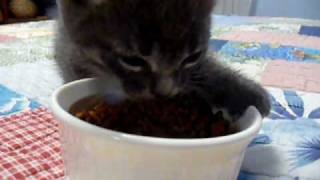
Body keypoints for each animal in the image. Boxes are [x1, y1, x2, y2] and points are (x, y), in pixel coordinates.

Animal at [55, 0, 270, 119]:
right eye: (132, 61)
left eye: (192, 57)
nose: (163, 93)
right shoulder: (71, 57)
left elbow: (205, 67)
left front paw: (243, 90)